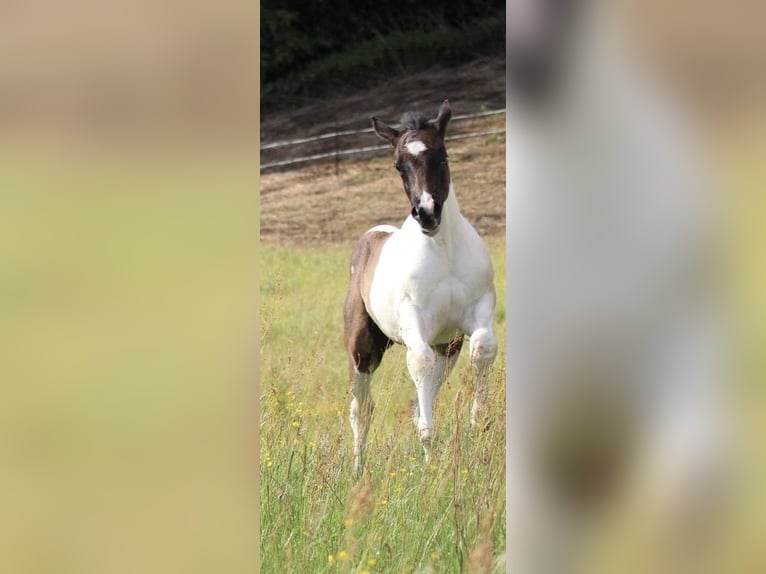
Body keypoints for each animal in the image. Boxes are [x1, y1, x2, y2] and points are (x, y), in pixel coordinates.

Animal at [343, 99, 498, 477]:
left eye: (442, 156)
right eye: (398, 165)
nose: (427, 213)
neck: (444, 251)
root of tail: (372, 235)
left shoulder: (478, 309)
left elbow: (483, 348)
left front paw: (478, 421)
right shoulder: (413, 319)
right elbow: (420, 364)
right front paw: (429, 454)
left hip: (448, 346)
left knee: (420, 393)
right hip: (362, 350)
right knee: (361, 408)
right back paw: (357, 470)